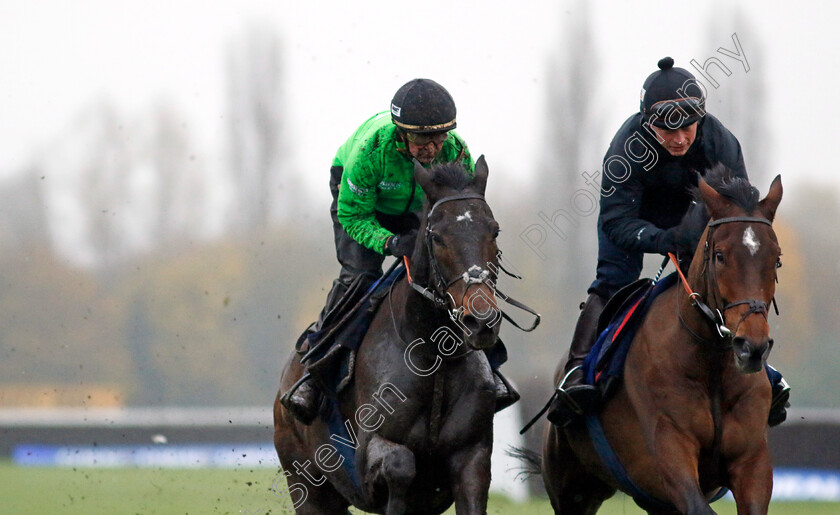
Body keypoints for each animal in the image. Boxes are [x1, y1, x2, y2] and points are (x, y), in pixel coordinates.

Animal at [276, 155, 512, 512]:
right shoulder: (368, 453)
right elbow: (400, 466)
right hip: (305, 483)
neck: (432, 354)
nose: (480, 322)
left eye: (494, 230)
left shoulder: (472, 453)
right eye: (437, 236)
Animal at [540, 167, 784, 512]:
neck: (712, 369)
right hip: (573, 489)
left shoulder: (752, 461)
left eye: (776, 259)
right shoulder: (669, 451)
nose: (752, 347)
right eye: (719, 256)